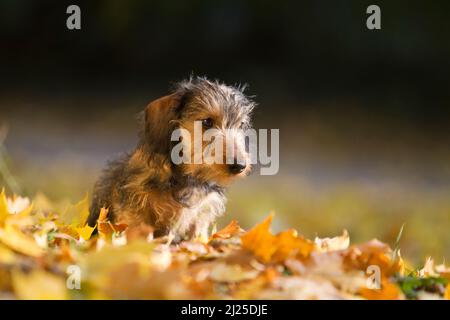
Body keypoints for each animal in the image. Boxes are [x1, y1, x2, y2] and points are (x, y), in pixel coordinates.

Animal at [87, 77, 256, 241]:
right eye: (207, 122)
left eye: (241, 125)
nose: (240, 166)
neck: (186, 177)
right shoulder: (134, 211)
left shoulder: (201, 216)